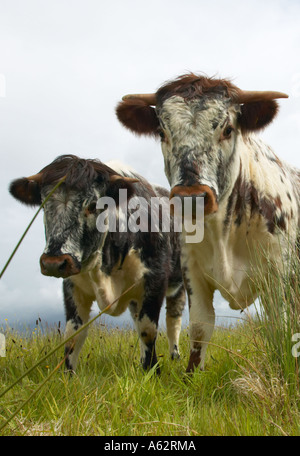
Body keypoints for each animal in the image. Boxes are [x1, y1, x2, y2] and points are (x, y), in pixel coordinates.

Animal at [9, 155, 185, 372]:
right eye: (43, 204)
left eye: (93, 205)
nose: (53, 263)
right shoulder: (72, 284)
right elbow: (73, 334)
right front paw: (68, 375)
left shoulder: (155, 279)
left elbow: (148, 329)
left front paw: (151, 371)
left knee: (173, 321)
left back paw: (175, 357)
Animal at [116, 75, 298, 372]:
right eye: (162, 132)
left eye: (228, 129)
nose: (192, 198)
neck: (223, 233)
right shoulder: (192, 271)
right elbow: (200, 326)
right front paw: (191, 375)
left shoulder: (278, 274)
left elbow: (281, 325)